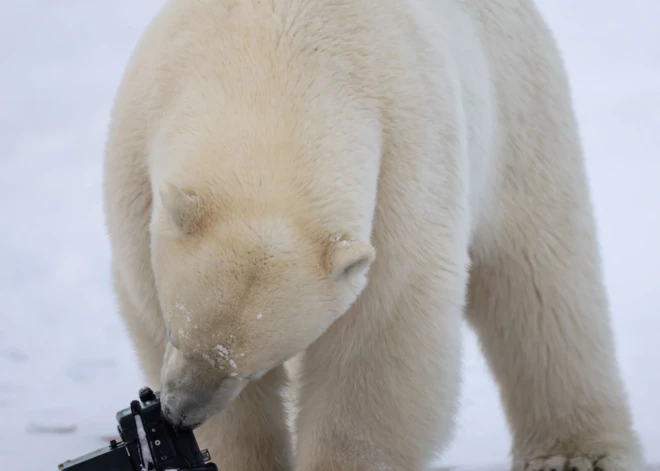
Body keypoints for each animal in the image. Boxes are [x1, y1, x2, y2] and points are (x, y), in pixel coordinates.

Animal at [103, 0, 644, 470]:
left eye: (252, 367)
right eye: (177, 333)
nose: (179, 413)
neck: (274, 61)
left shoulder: (405, 174)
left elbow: (379, 342)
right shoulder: (138, 162)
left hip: (517, 111)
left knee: (542, 284)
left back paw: (578, 455)